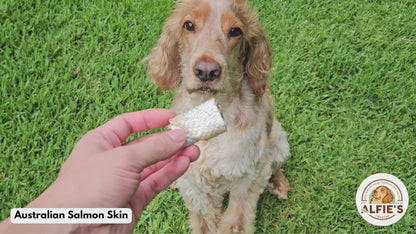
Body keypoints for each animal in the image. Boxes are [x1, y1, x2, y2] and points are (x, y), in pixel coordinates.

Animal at [145, 0, 290, 232]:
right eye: (188, 25)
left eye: (236, 31)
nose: (207, 71)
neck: (211, 109)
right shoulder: (196, 184)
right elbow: (205, 222)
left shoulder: (247, 177)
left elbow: (235, 223)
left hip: (279, 142)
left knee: (275, 165)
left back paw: (279, 183)